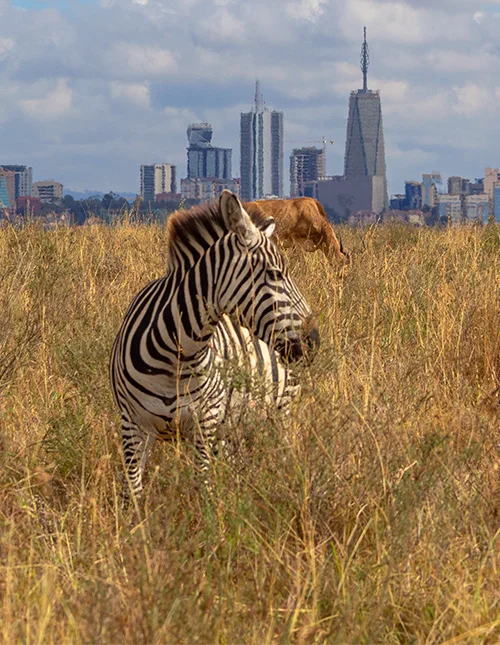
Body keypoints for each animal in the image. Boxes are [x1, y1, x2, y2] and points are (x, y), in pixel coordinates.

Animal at [110, 190, 319, 497]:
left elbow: (203, 489)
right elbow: (132, 492)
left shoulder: (205, 424)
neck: (176, 356)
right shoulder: (132, 424)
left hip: (279, 411)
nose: (313, 341)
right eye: (275, 274)